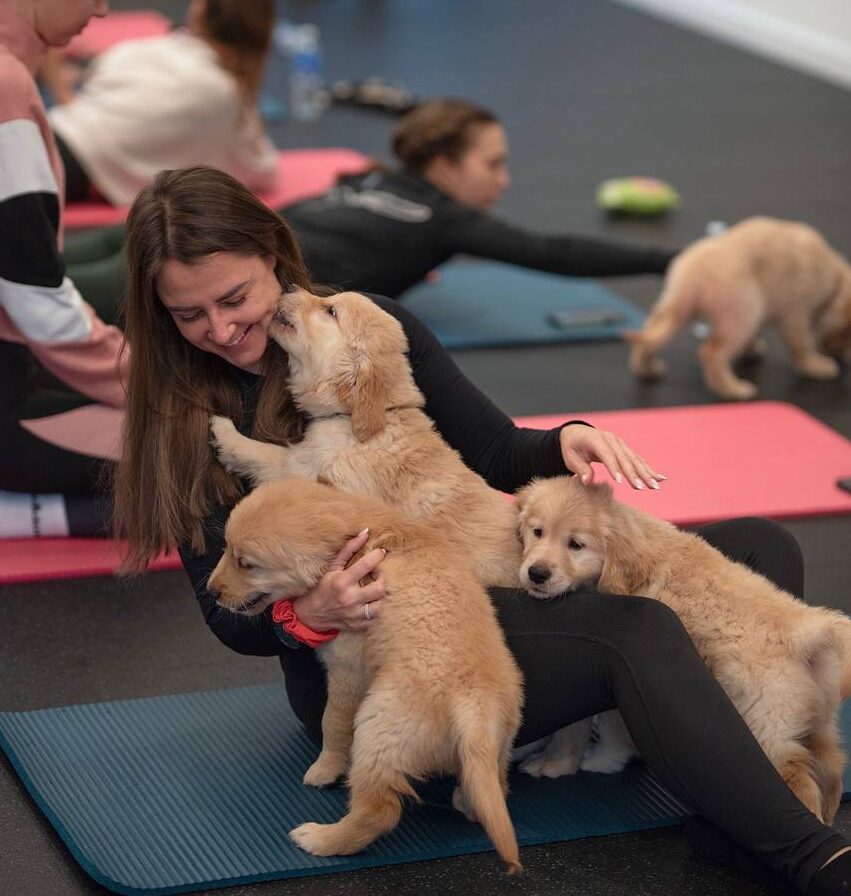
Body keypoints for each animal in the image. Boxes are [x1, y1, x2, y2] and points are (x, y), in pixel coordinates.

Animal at [210, 288, 524, 588]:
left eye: (330, 310)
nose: (288, 287)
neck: (361, 418)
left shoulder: (309, 473)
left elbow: (264, 454)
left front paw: (223, 431)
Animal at [624, 215, 851, 398]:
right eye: (845, 333)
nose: (840, 355)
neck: (834, 278)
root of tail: (693, 279)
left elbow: (756, 336)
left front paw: (752, 350)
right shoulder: (795, 313)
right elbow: (801, 345)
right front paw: (816, 365)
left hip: (673, 309)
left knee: (650, 336)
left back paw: (647, 369)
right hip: (744, 311)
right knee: (711, 352)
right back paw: (732, 389)